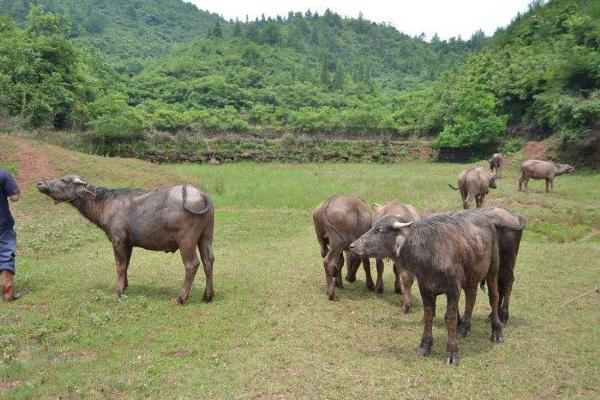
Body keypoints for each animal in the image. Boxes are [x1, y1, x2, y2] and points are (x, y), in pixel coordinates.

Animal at [37, 174, 216, 304]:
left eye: (64, 180)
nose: (40, 183)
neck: (106, 204)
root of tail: (202, 195)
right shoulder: (128, 244)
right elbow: (127, 264)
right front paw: (124, 287)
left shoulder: (118, 240)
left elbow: (120, 266)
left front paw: (117, 293)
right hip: (206, 237)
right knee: (208, 260)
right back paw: (207, 296)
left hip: (186, 241)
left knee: (192, 264)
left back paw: (180, 298)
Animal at [350, 212, 504, 366]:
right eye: (372, 227)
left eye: (380, 230)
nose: (352, 246)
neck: (430, 251)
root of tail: (488, 222)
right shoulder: (425, 288)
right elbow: (429, 314)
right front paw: (425, 346)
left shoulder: (453, 289)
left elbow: (450, 318)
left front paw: (452, 352)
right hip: (471, 277)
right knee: (471, 299)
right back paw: (463, 329)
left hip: (493, 269)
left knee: (493, 297)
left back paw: (497, 332)